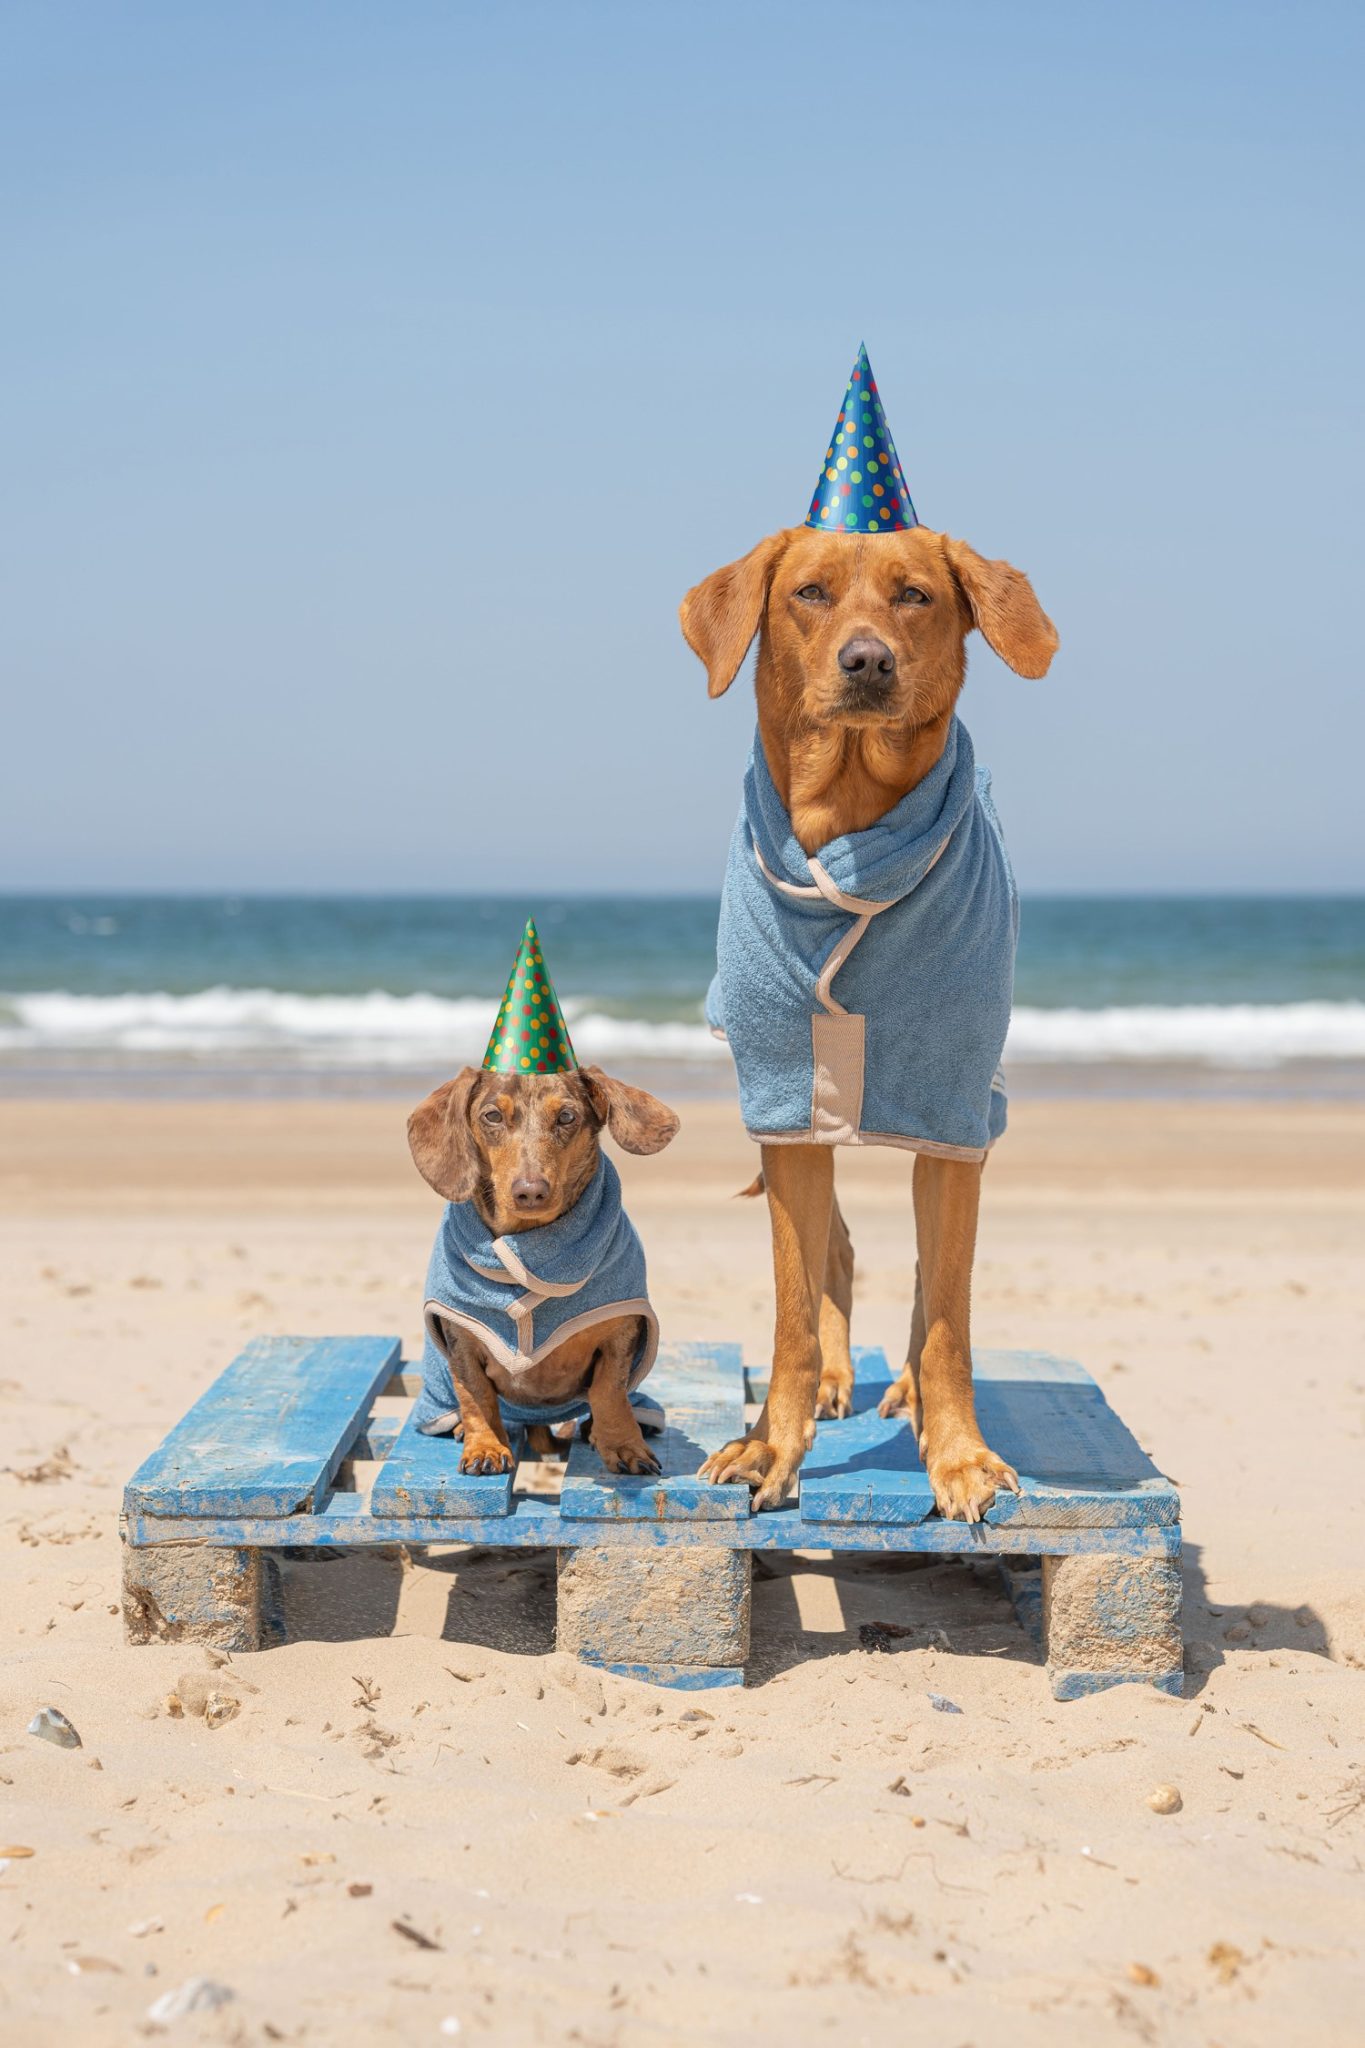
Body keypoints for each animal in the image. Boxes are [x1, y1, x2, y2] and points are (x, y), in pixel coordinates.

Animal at [679, 528, 1055, 1523]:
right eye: (808, 593)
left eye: (915, 595)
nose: (867, 661)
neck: (850, 827)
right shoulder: (784, 1102)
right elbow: (792, 1305)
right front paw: (772, 1444)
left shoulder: (949, 1105)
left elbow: (948, 1314)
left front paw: (956, 1451)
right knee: (834, 1250)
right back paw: (836, 1381)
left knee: (932, 1274)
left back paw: (909, 1393)